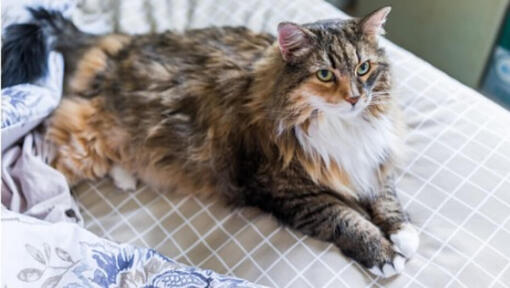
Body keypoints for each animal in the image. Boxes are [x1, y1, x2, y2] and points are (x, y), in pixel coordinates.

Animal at [2, 6, 418, 276]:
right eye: (325, 74)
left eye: (363, 68)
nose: (355, 98)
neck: (342, 126)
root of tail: (123, 43)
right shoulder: (287, 189)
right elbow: (346, 218)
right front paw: (383, 254)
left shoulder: (373, 159)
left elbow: (386, 196)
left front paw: (404, 234)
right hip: (86, 139)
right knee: (45, 152)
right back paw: (51, 209)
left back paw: (126, 176)